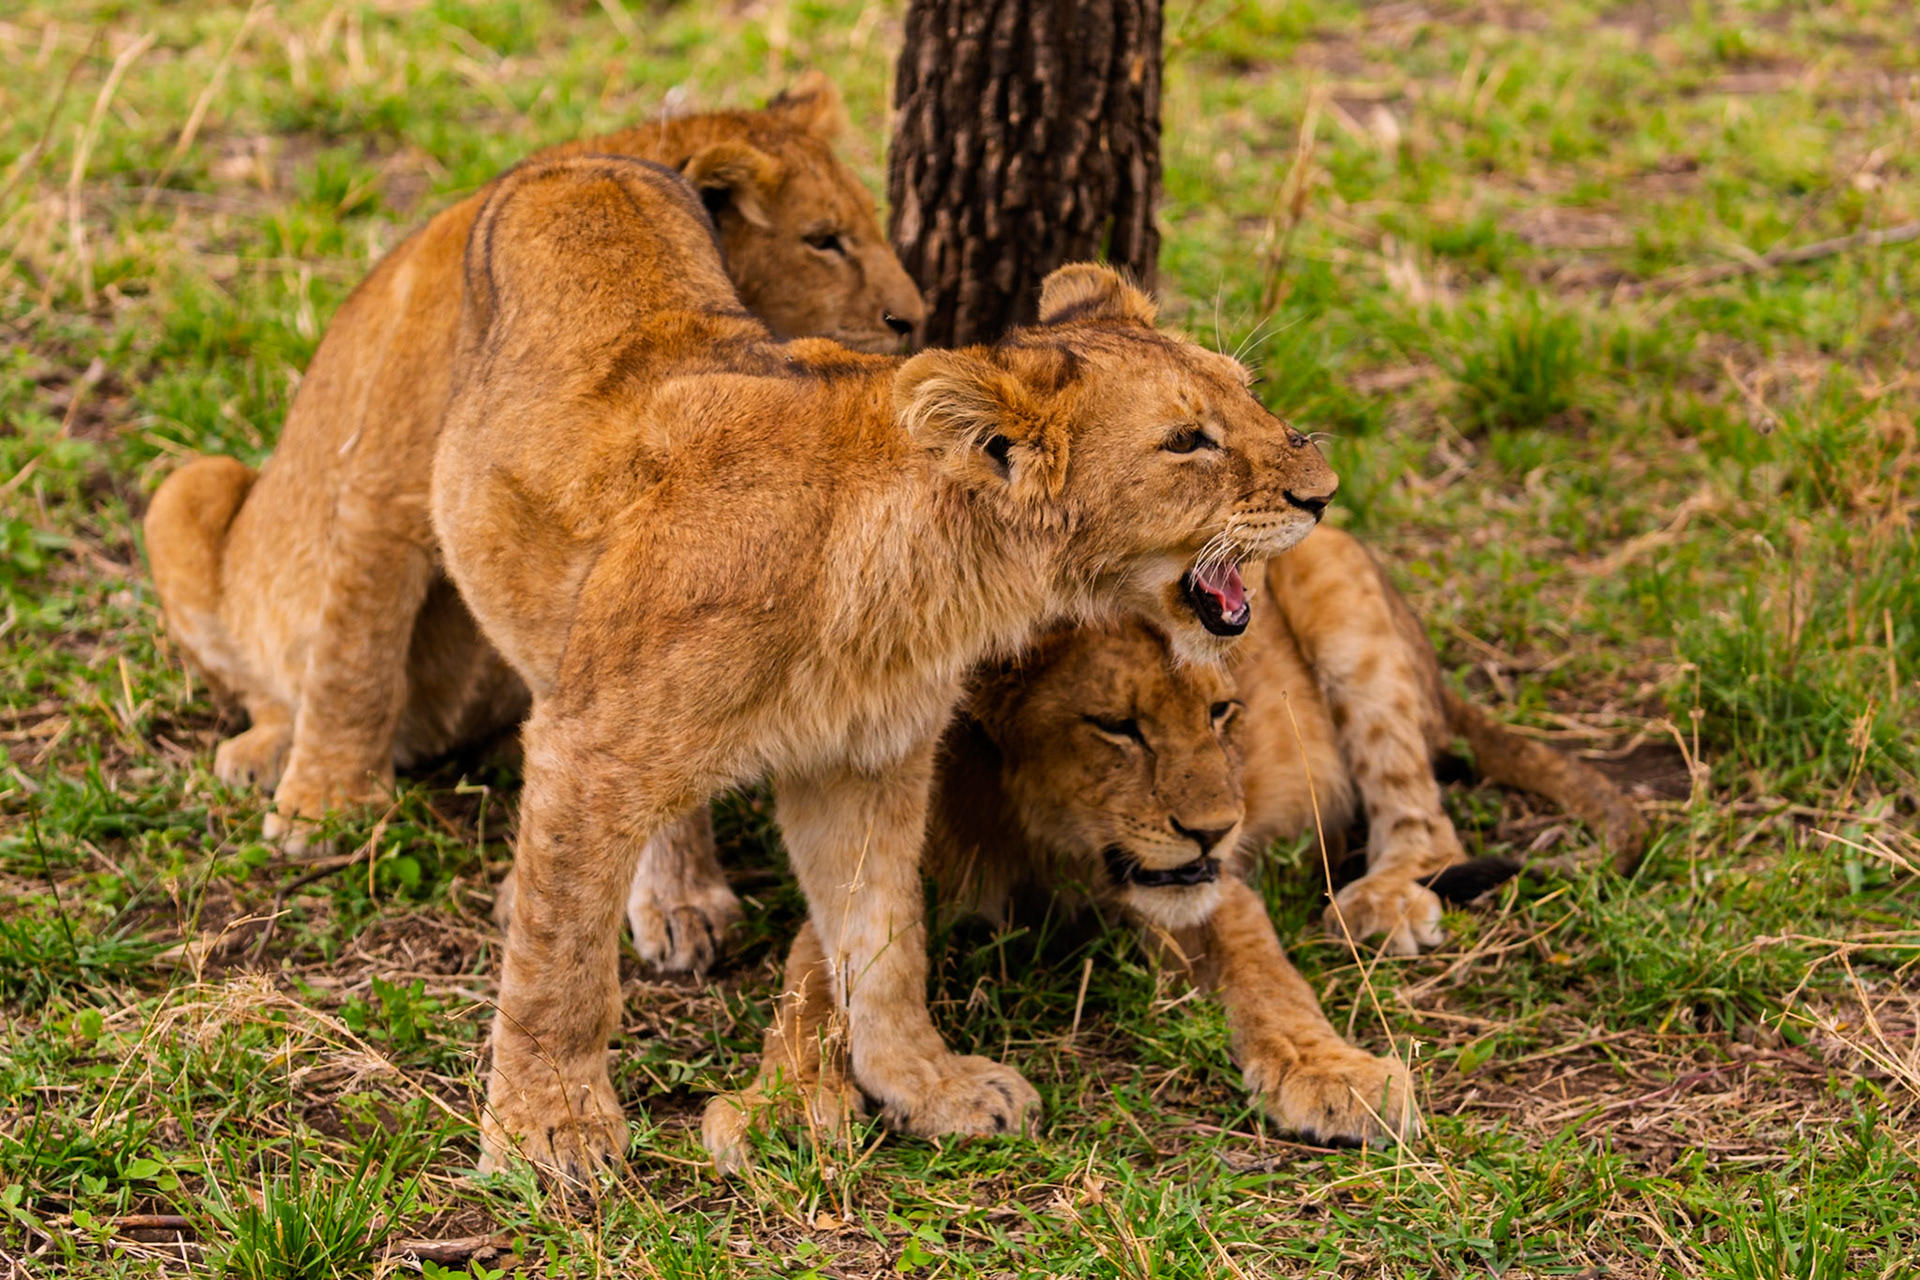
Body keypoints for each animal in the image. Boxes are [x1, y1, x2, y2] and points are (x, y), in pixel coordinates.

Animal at [142, 75, 924, 895]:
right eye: (823, 239)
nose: (917, 317)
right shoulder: (382, 489)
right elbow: (355, 658)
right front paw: (324, 808)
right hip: (187, 487)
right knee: (264, 679)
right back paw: (262, 749)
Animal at [426, 153, 1338, 1181]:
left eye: (1248, 394)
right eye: (1187, 442)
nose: (1323, 492)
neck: (917, 584)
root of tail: (579, 158)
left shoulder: (866, 764)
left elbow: (884, 939)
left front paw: (929, 1086)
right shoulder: (594, 747)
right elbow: (563, 959)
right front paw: (547, 1129)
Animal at [702, 524, 1647, 1162]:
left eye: (1224, 712)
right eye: (1118, 728)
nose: (1217, 826)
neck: (1044, 840)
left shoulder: (1212, 884)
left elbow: (1266, 970)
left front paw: (1334, 1073)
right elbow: (813, 984)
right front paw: (781, 1103)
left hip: (1349, 611)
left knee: (1420, 808)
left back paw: (1385, 899)